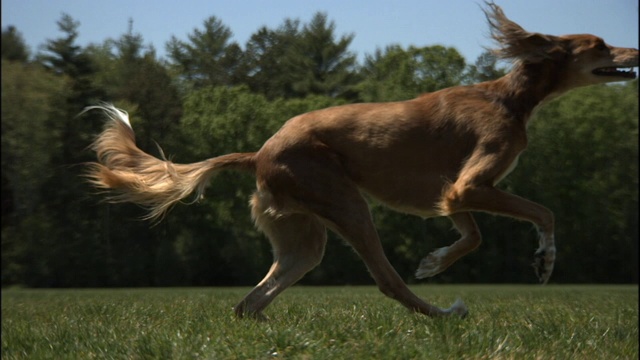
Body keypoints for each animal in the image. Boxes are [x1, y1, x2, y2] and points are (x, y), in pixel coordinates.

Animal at [82, 3, 636, 318]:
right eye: (599, 45)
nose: (632, 51)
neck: (509, 98)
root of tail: (260, 152)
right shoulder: (469, 185)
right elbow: (543, 213)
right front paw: (544, 259)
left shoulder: (450, 192)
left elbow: (472, 234)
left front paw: (436, 260)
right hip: (347, 205)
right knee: (388, 282)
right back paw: (447, 315)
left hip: (302, 237)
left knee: (250, 303)